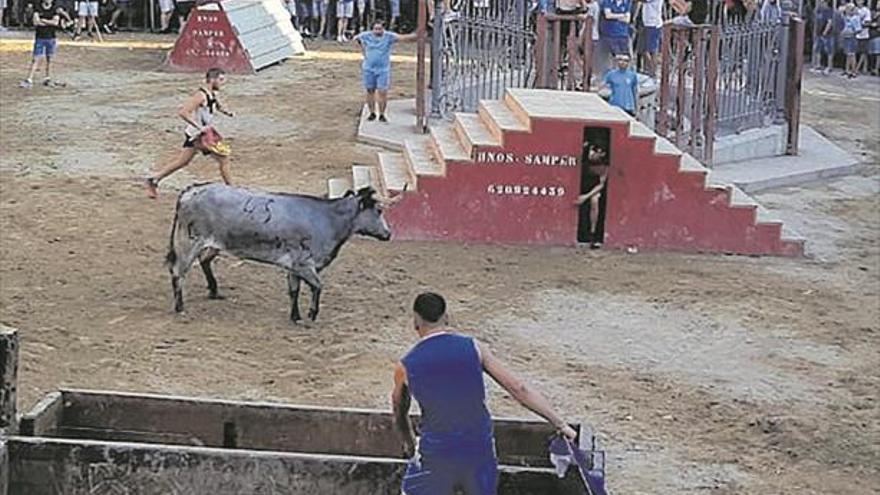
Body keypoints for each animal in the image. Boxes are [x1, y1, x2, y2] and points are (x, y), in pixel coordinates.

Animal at [166, 184, 392, 324]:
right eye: (379, 211)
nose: (388, 234)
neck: (328, 219)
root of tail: (191, 190)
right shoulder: (304, 264)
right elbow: (317, 286)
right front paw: (311, 314)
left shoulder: (294, 266)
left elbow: (294, 290)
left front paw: (296, 316)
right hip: (188, 242)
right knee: (178, 272)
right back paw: (180, 307)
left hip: (212, 244)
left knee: (203, 261)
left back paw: (214, 291)